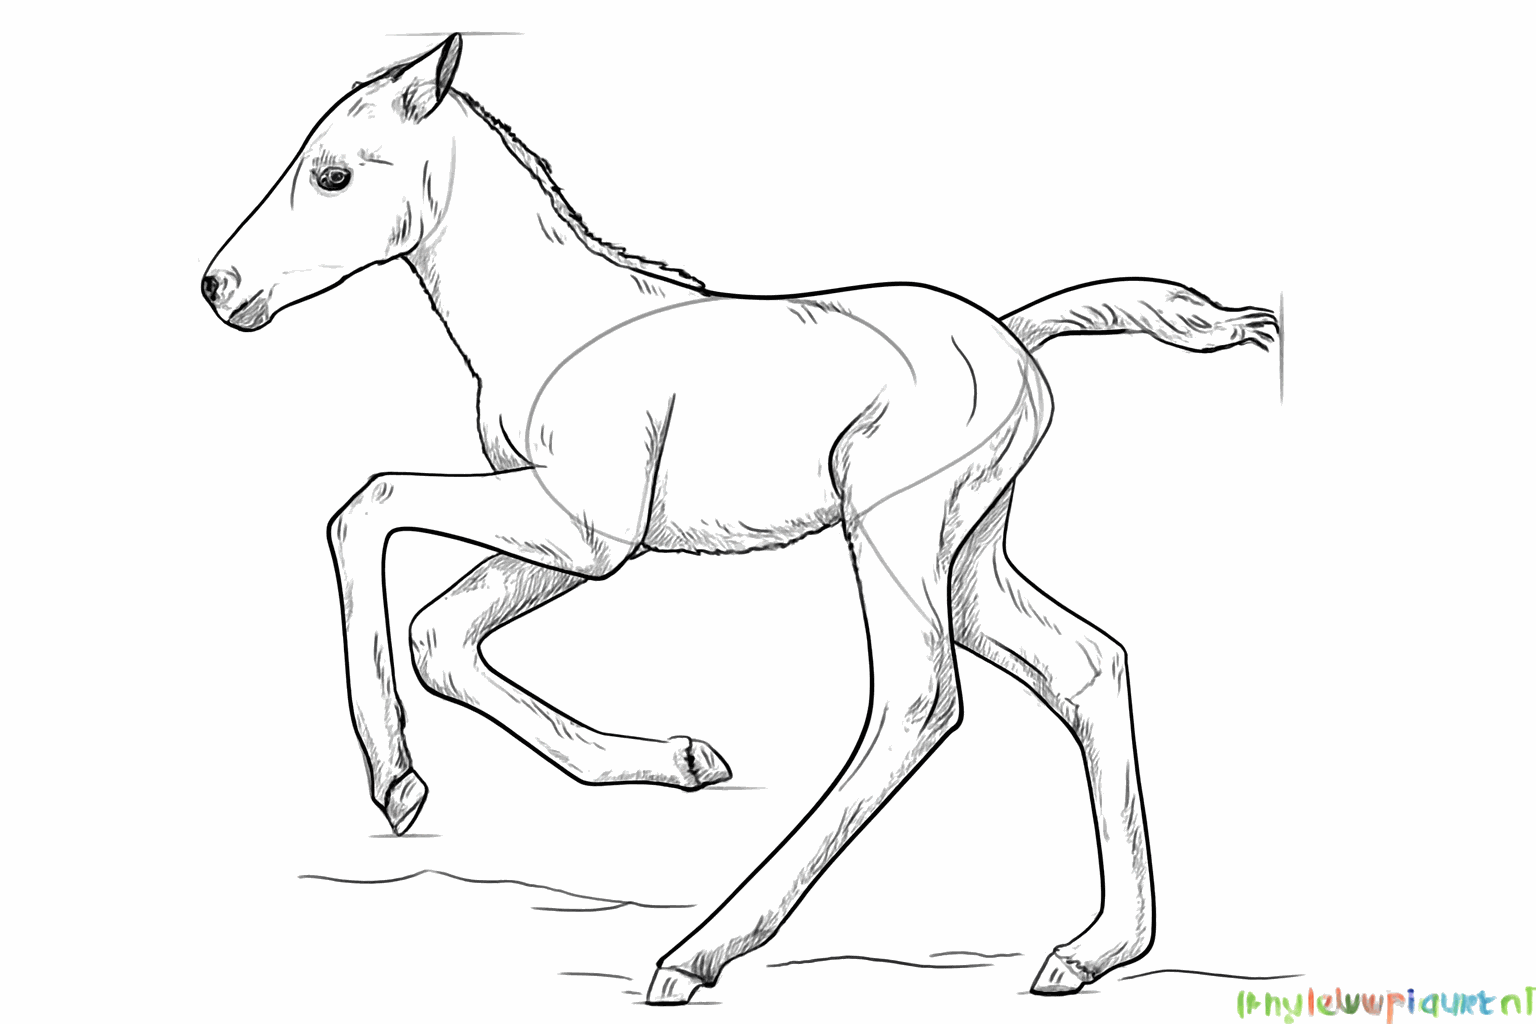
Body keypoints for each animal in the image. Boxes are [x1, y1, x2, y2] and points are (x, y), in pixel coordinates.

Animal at [201, 34, 1276, 1005]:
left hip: (893, 533)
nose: (220, 288)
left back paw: (698, 952)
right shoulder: (568, 533)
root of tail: (1013, 336)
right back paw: (1094, 952)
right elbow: (441, 633)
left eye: (332, 174)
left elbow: (367, 506)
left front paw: (393, 773)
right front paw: (673, 762)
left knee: (918, 700)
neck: (556, 323)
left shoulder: (586, 530)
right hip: (968, 560)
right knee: (1086, 664)